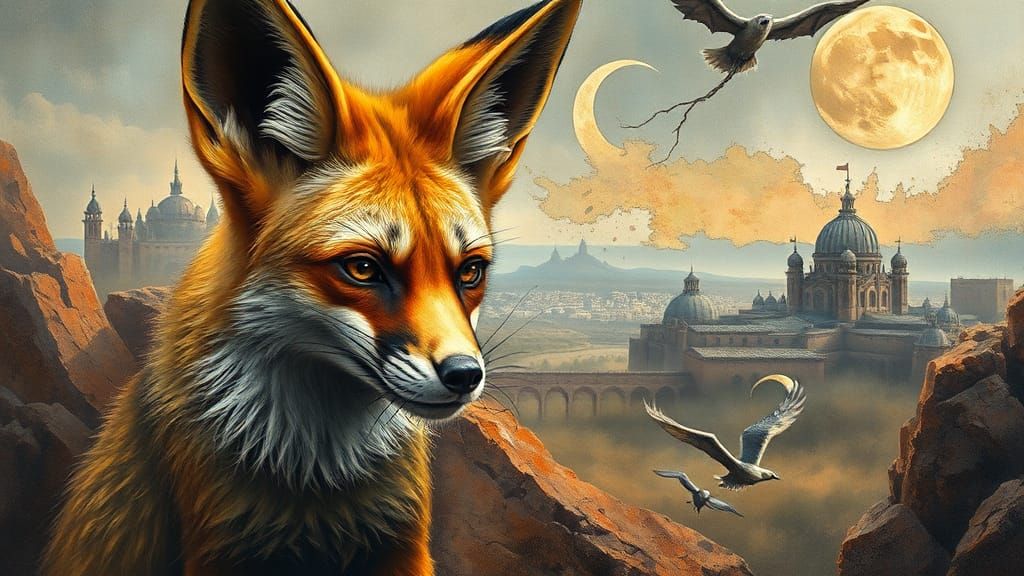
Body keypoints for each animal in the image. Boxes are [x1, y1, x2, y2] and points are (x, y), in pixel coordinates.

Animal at [42, 0, 581, 574]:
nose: (465, 376)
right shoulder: (218, 542)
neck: (316, 481)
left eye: (470, 272)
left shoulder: (401, 542)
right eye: (362, 268)